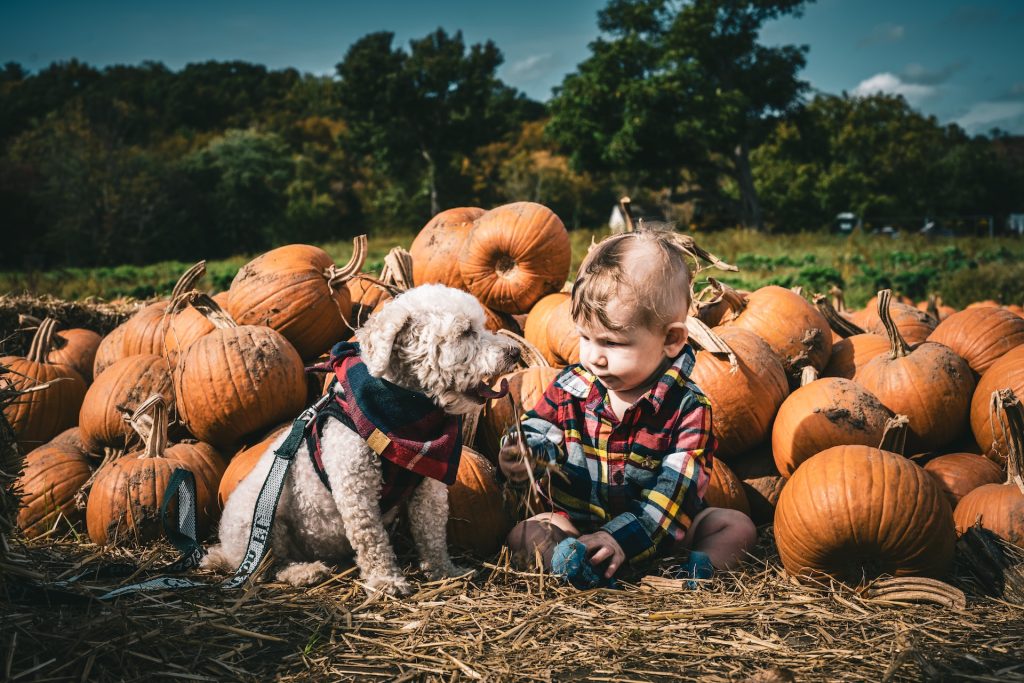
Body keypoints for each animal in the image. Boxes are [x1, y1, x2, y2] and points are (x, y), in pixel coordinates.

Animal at [204, 282, 520, 593]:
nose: (515, 352)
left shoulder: (428, 488)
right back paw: (304, 572)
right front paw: (385, 580)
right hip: (259, 518)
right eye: (465, 332)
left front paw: (445, 571)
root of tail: (226, 552)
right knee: (271, 564)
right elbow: (372, 539)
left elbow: (431, 533)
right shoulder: (356, 486)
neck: (405, 416)